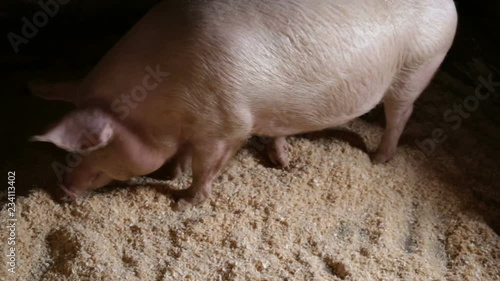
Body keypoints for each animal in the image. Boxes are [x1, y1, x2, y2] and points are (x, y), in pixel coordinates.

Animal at [30, 0, 458, 206]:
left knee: (400, 114)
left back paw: (378, 160)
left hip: (418, 67)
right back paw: (284, 160)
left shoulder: (225, 125)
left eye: (88, 147)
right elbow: (184, 155)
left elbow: (207, 167)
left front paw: (184, 202)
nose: (64, 191)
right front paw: (169, 175)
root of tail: (450, 4)